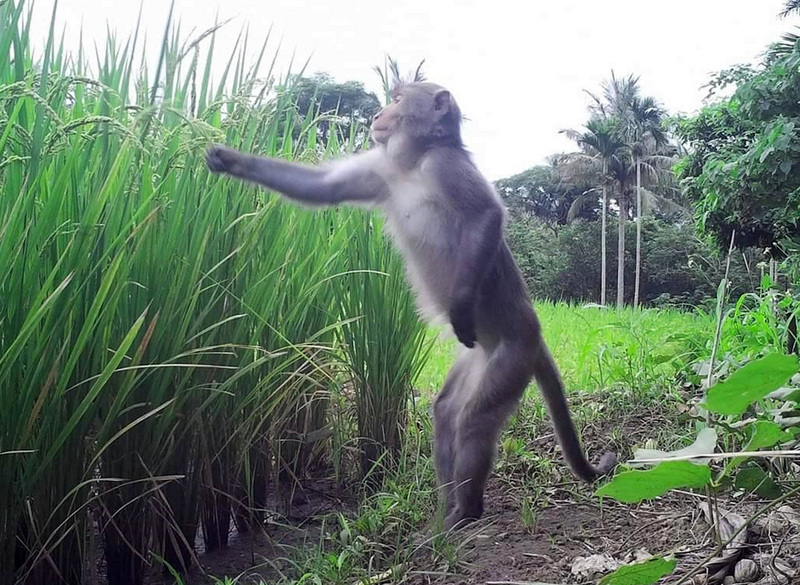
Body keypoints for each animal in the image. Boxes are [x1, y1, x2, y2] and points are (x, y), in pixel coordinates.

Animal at [205, 81, 617, 531]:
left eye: (400, 100)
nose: (379, 114)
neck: (414, 163)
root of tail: (535, 334)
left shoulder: (445, 166)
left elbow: (487, 215)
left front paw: (459, 306)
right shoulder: (383, 169)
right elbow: (325, 187)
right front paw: (230, 159)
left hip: (511, 358)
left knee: (474, 420)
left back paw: (465, 512)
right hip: (476, 358)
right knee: (447, 411)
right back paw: (445, 507)